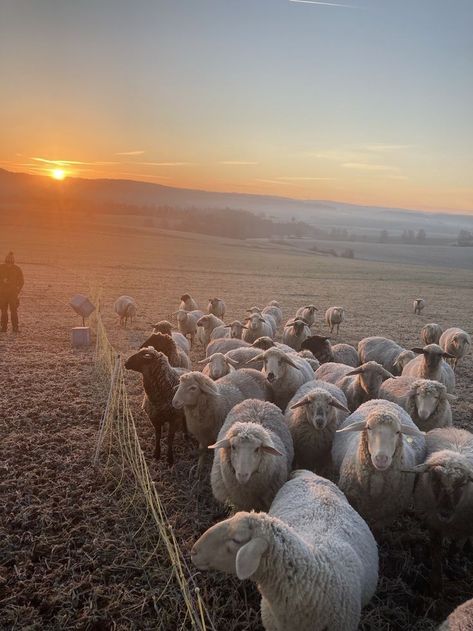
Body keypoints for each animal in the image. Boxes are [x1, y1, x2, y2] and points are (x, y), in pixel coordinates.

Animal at [404, 428, 472, 596]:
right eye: (435, 481)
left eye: (462, 485)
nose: (444, 513)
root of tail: (457, 429)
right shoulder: (434, 523)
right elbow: (436, 552)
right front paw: (436, 586)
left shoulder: (466, 524)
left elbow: (455, 547)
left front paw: (453, 566)